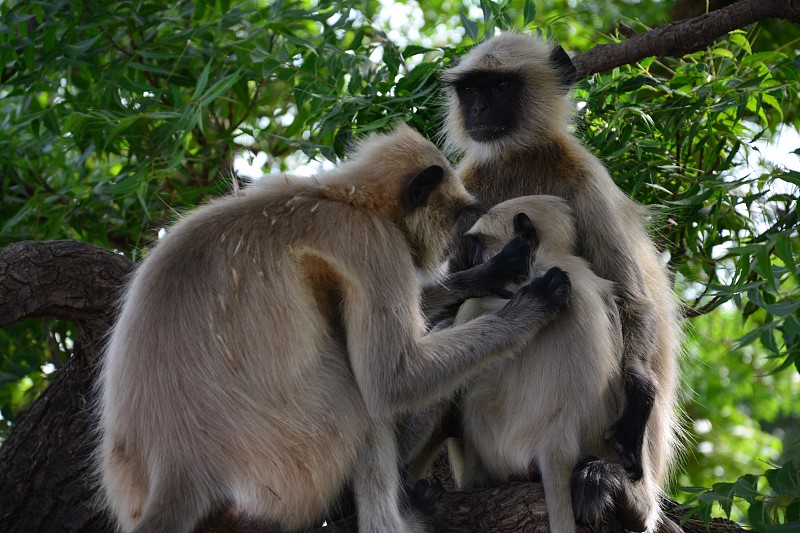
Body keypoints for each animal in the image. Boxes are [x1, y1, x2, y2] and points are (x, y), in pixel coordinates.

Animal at [97, 123, 572, 532]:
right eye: (456, 219)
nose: (451, 251)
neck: (345, 197)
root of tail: (178, 464)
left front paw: (491, 272)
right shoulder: (373, 243)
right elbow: (392, 380)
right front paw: (530, 307)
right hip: (293, 456)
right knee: (362, 396)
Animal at [438, 32, 680, 528]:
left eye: (501, 86)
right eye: (470, 90)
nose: (479, 109)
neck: (517, 158)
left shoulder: (584, 178)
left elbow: (634, 301)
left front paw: (640, 394)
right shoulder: (468, 189)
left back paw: (622, 493)